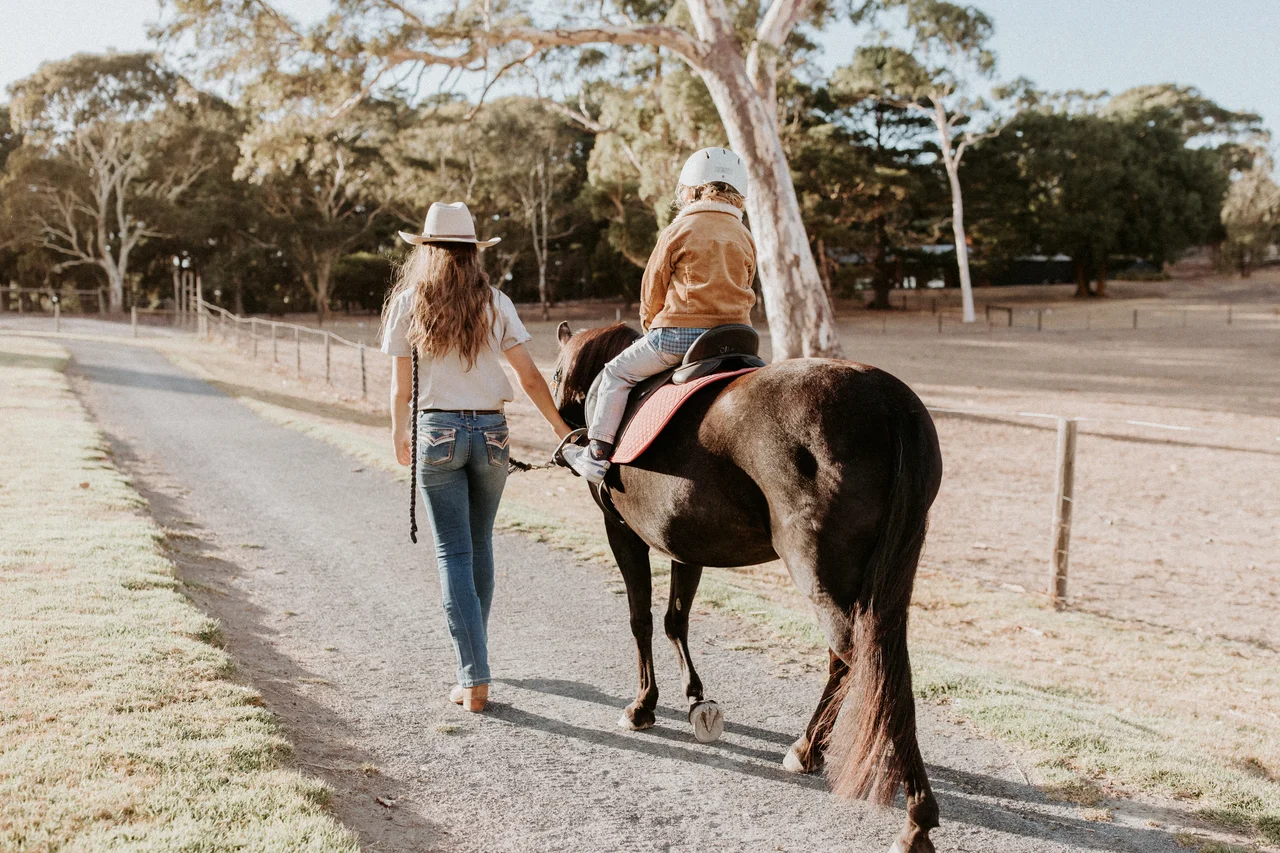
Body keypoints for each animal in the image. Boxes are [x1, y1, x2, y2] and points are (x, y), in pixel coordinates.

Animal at [551, 322, 945, 853]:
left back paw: (911, 812)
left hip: (823, 574)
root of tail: (888, 400)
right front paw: (695, 699)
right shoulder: (685, 546)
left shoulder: (622, 533)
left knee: (863, 662)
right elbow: (676, 619)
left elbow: (641, 619)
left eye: (555, 372)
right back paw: (811, 750)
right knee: (864, 664)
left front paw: (643, 706)